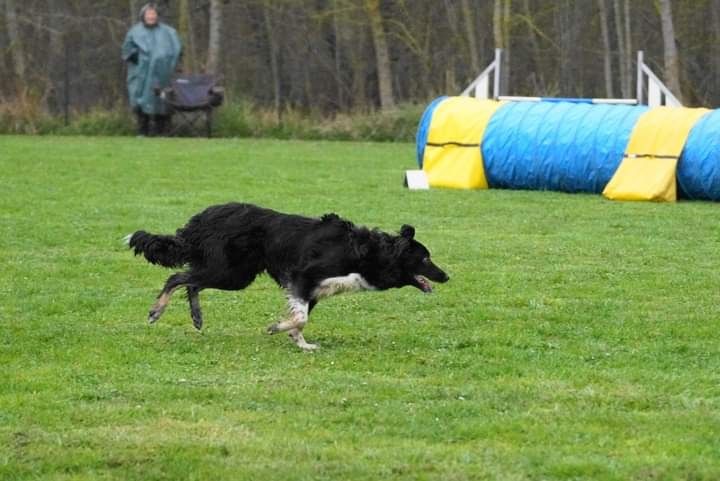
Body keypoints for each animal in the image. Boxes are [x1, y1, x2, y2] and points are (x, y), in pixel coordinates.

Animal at [126, 202, 448, 348]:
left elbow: (300, 318)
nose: (446, 277)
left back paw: (196, 318)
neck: (367, 253)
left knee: (191, 283)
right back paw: (156, 311)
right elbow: (300, 317)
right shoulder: (303, 277)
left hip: (233, 274)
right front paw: (277, 328)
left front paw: (299, 342)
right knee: (178, 279)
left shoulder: (311, 291)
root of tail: (201, 219)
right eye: (425, 258)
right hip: (229, 272)